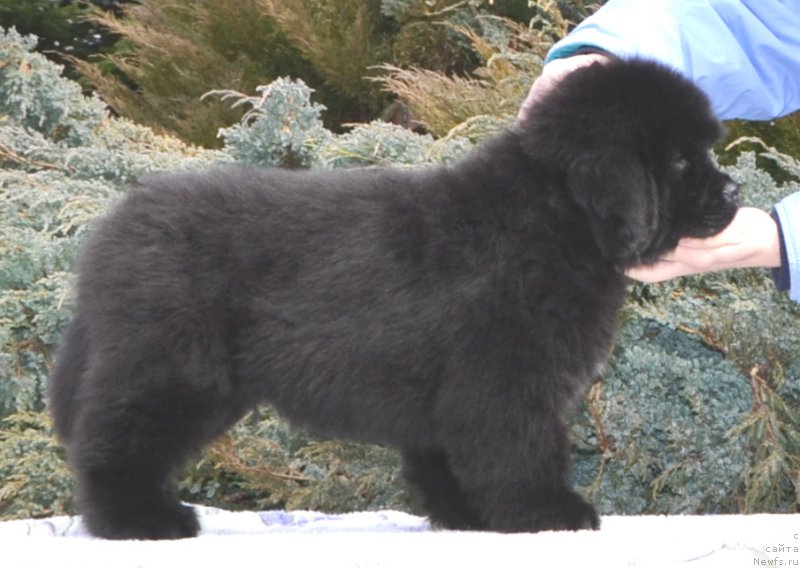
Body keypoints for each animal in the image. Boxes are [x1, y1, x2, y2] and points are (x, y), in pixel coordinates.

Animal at [48, 58, 736, 540]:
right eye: (680, 162)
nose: (733, 192)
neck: (554, 217)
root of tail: (111, 231)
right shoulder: (508, 379)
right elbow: (522, 449)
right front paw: (547, 511)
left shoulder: (456, 395)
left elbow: (452, 460)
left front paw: (468, 515)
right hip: (171, 368)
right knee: (114, 441)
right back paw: (140, 519)